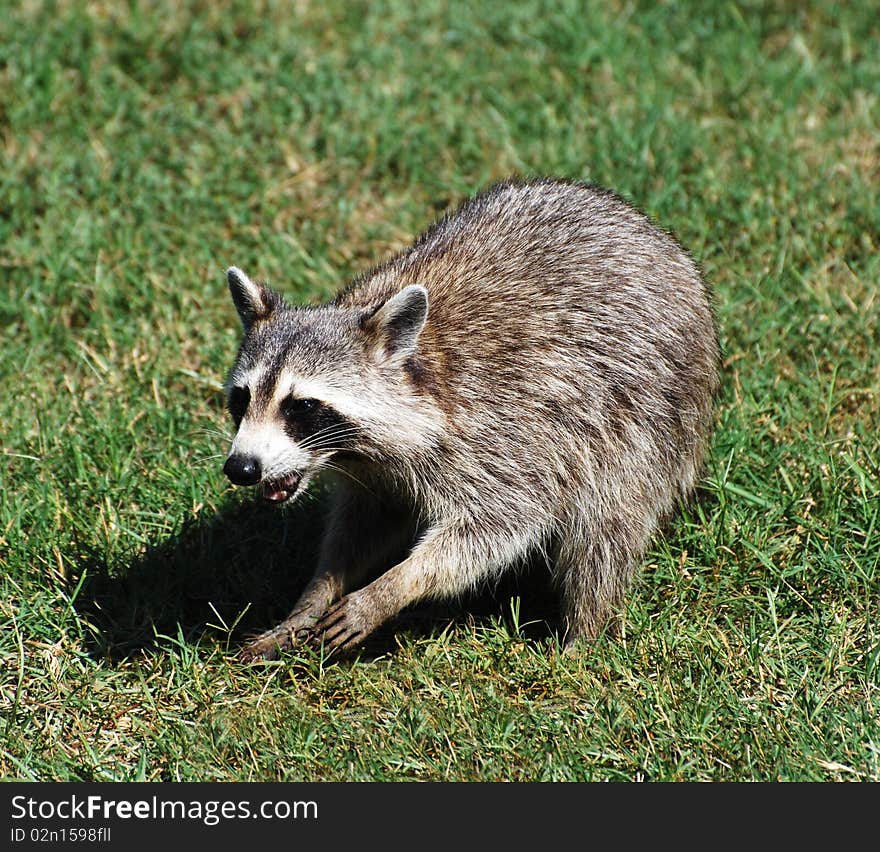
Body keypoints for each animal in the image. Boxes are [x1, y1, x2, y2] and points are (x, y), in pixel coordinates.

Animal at [222, 178, 720, 660]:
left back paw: (585, 632)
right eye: (241, 399)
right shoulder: (380, 475)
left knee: (606, 525)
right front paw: (313, 598)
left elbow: (497, 526)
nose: (241, 468)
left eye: (301, 406)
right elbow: (365, 527)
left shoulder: (508, 433)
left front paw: (394, 585)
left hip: (649, 417)